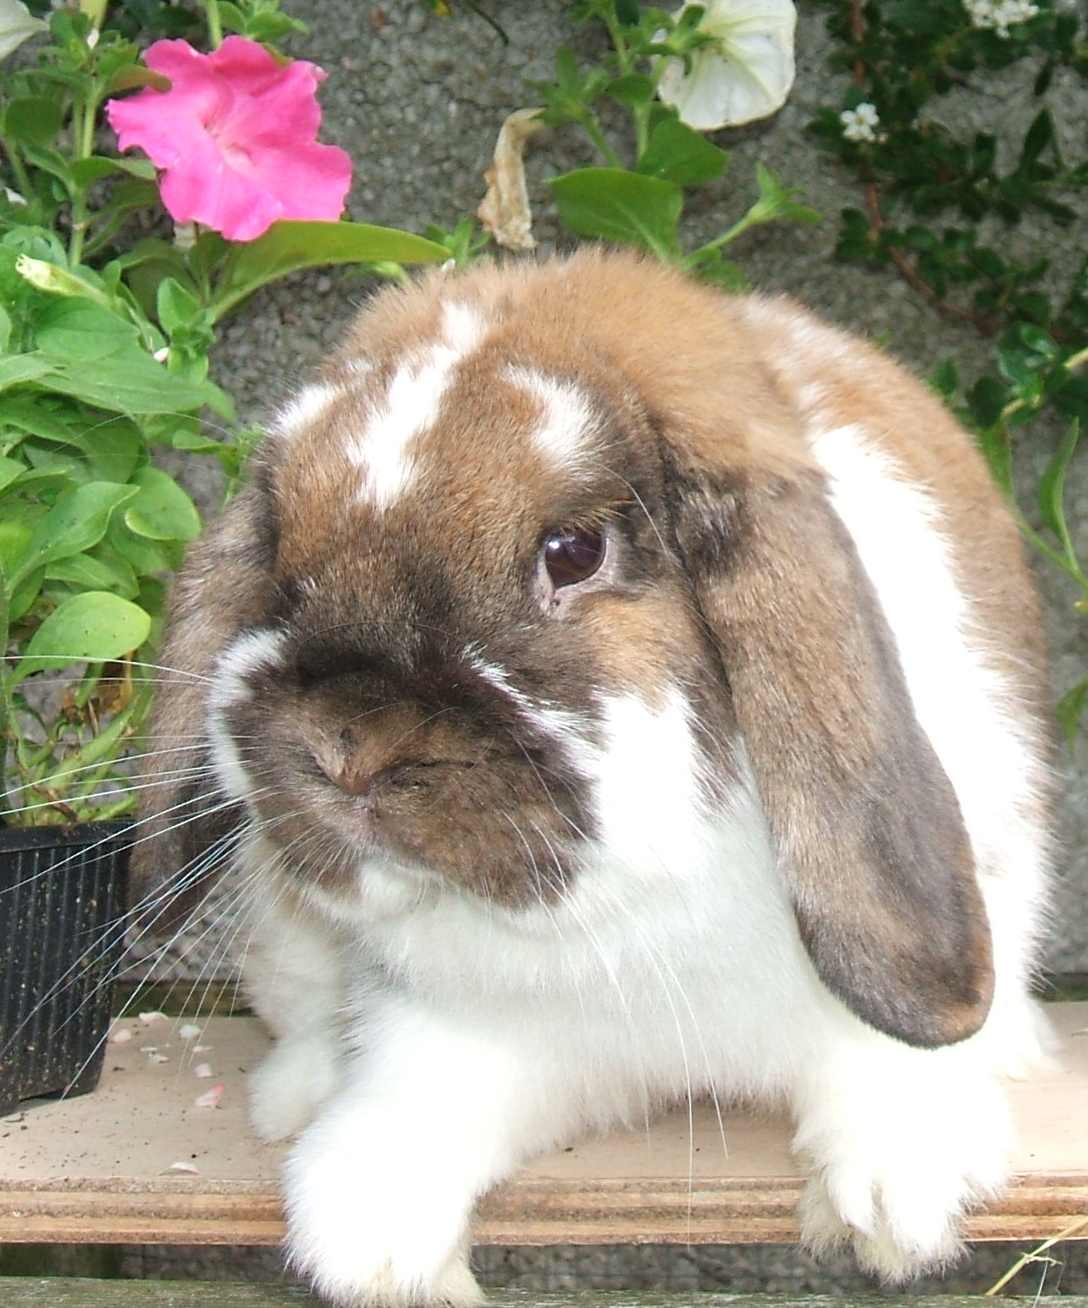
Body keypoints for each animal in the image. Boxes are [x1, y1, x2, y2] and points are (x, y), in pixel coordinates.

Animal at [133, 248, 1055, 1306]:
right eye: (281, 542)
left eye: (572, 551)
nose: (341, 746)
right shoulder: (462, 1023)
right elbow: (418, 1088)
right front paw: (373, 1237)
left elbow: (882, 1064)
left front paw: (902, 1197)